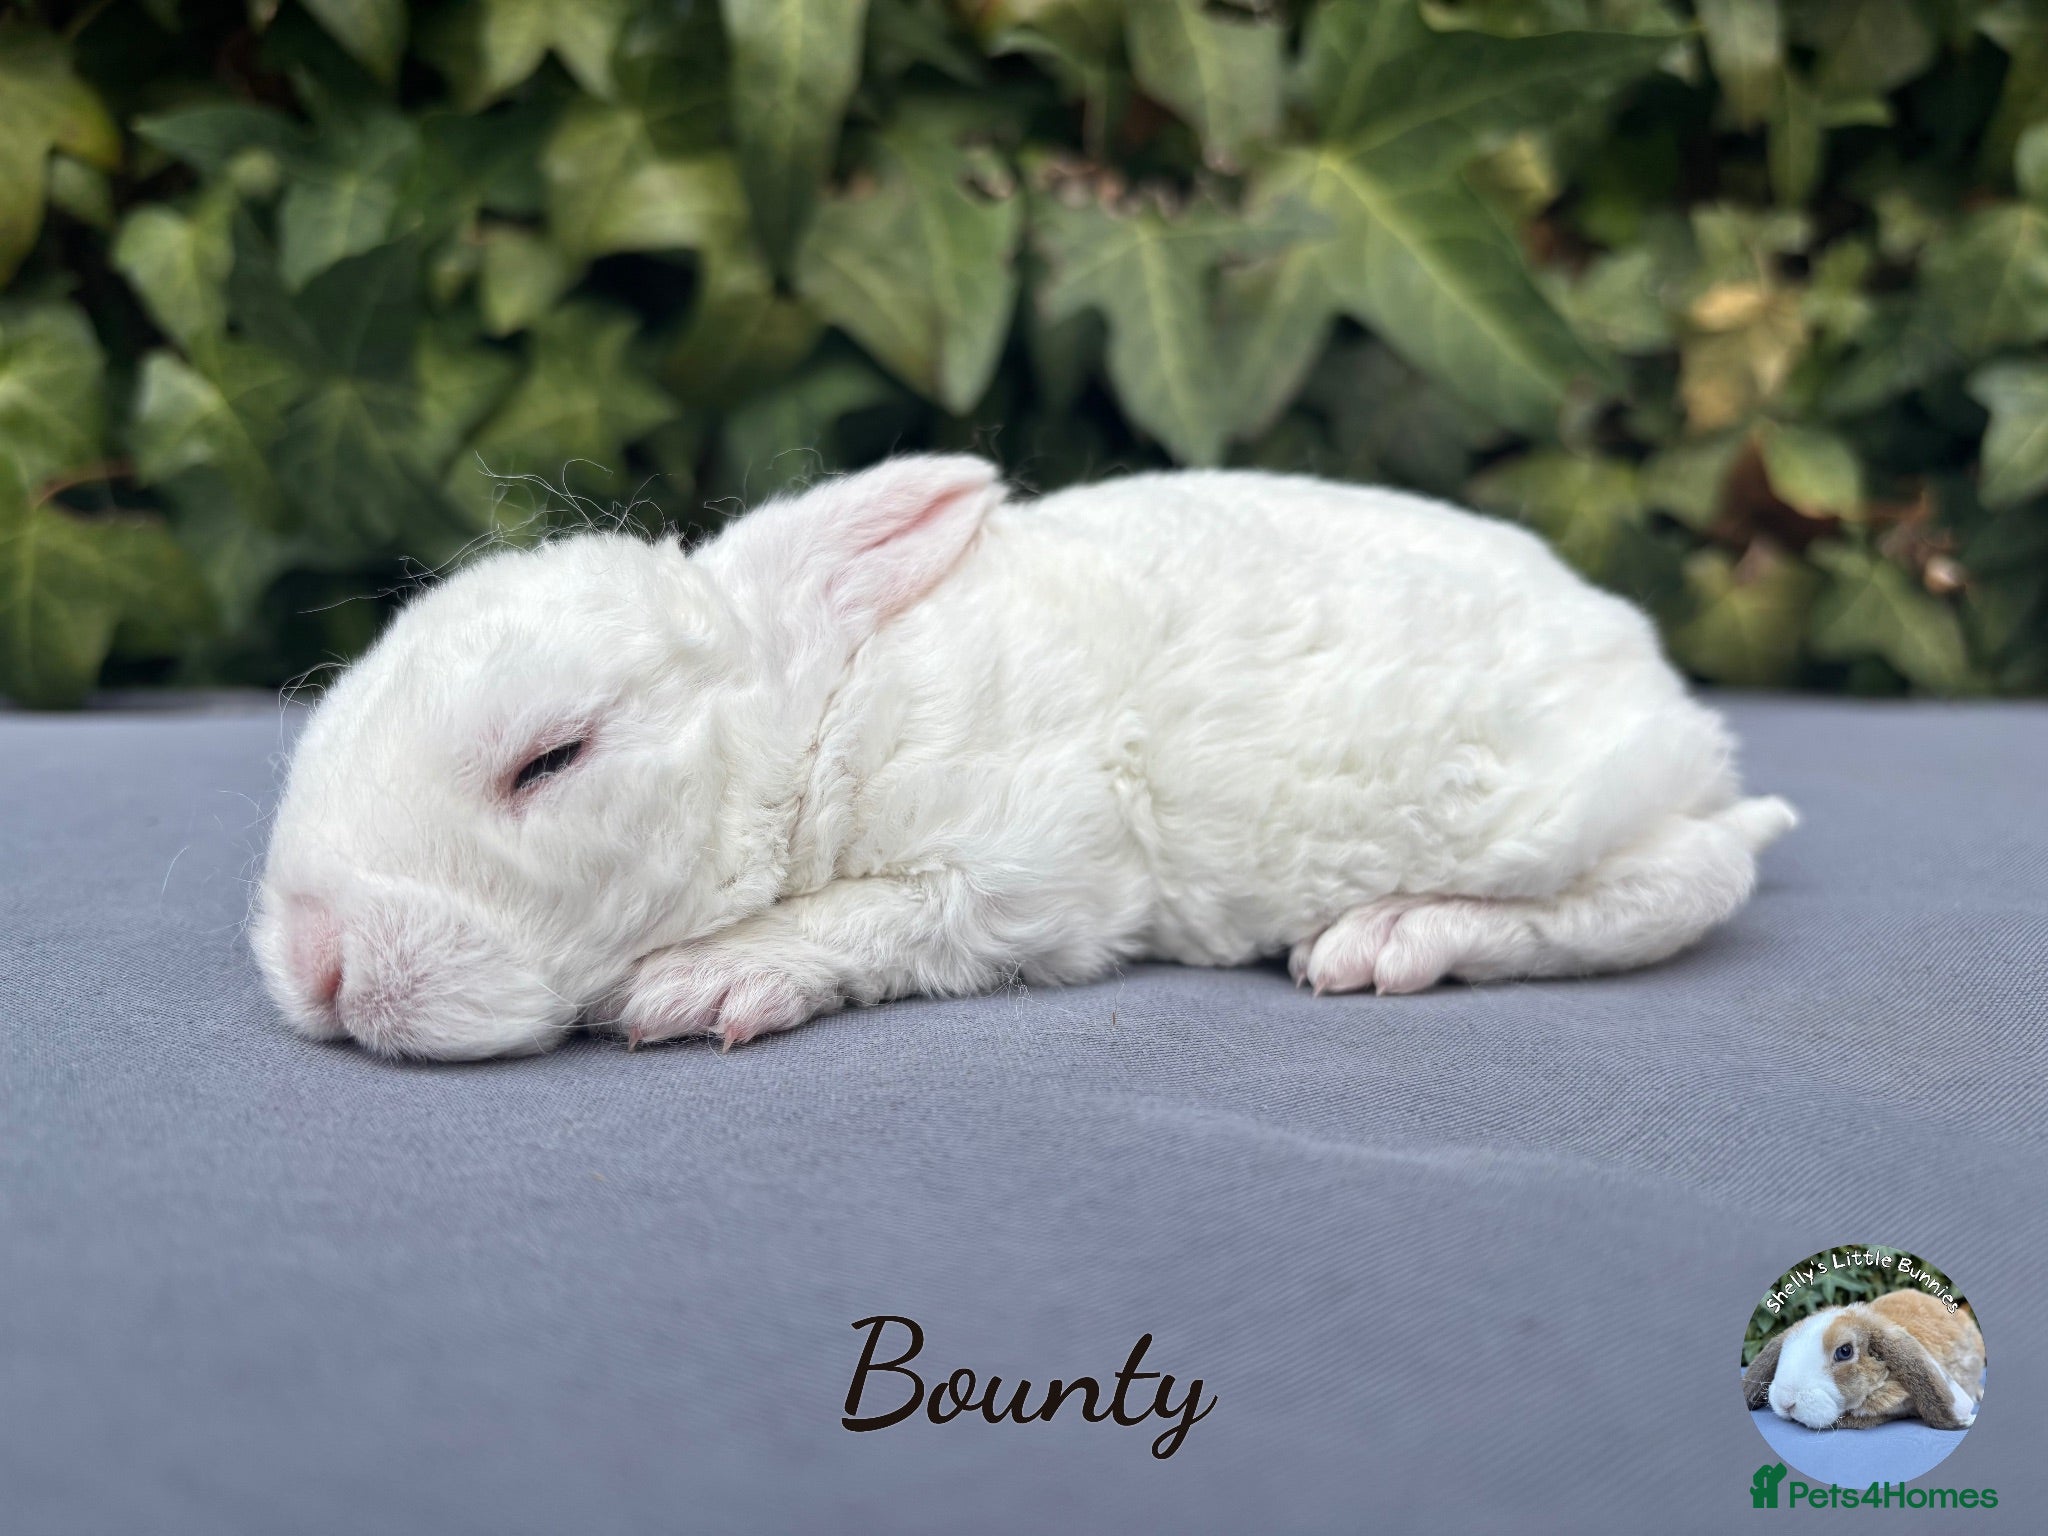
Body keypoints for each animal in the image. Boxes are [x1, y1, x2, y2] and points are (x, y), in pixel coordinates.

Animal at [251, 453, 1796, 1060]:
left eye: (551, 760)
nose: (318, 962)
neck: (819, 724)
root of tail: (1671, 706)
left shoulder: (1033, 866)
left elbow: (884, 917)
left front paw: (704, 983)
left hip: (1546, 816)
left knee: (1682, 884)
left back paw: (1391, 938)